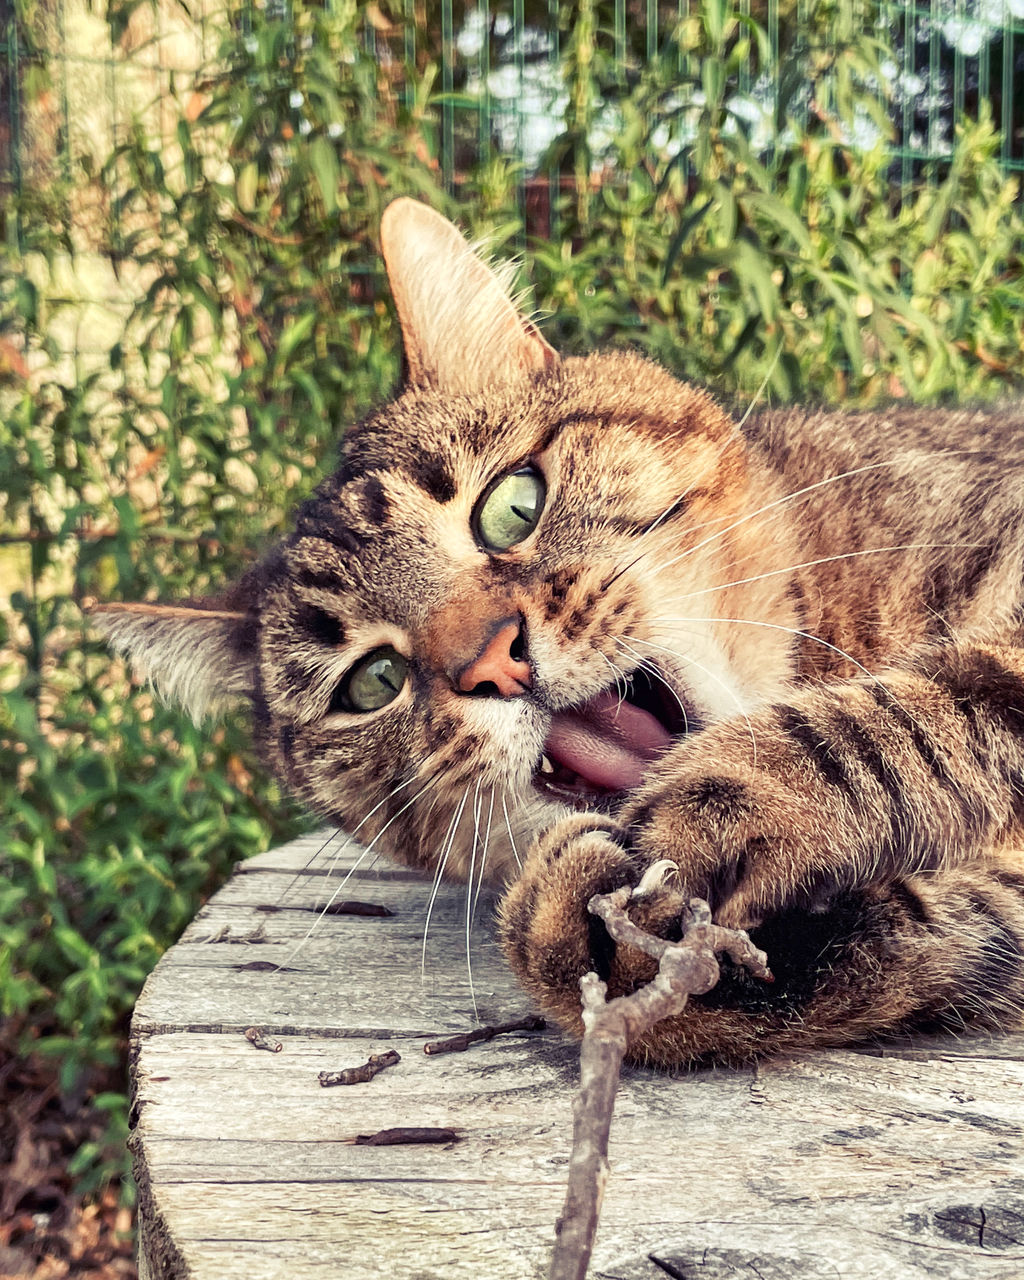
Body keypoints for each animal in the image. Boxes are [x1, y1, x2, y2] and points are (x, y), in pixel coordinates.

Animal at [92, 197, 1024, 1059]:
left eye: (513, 504)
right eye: (371, 682)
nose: (491, 661)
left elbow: (930, 707)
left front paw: (735, 787)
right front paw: (595, 943)